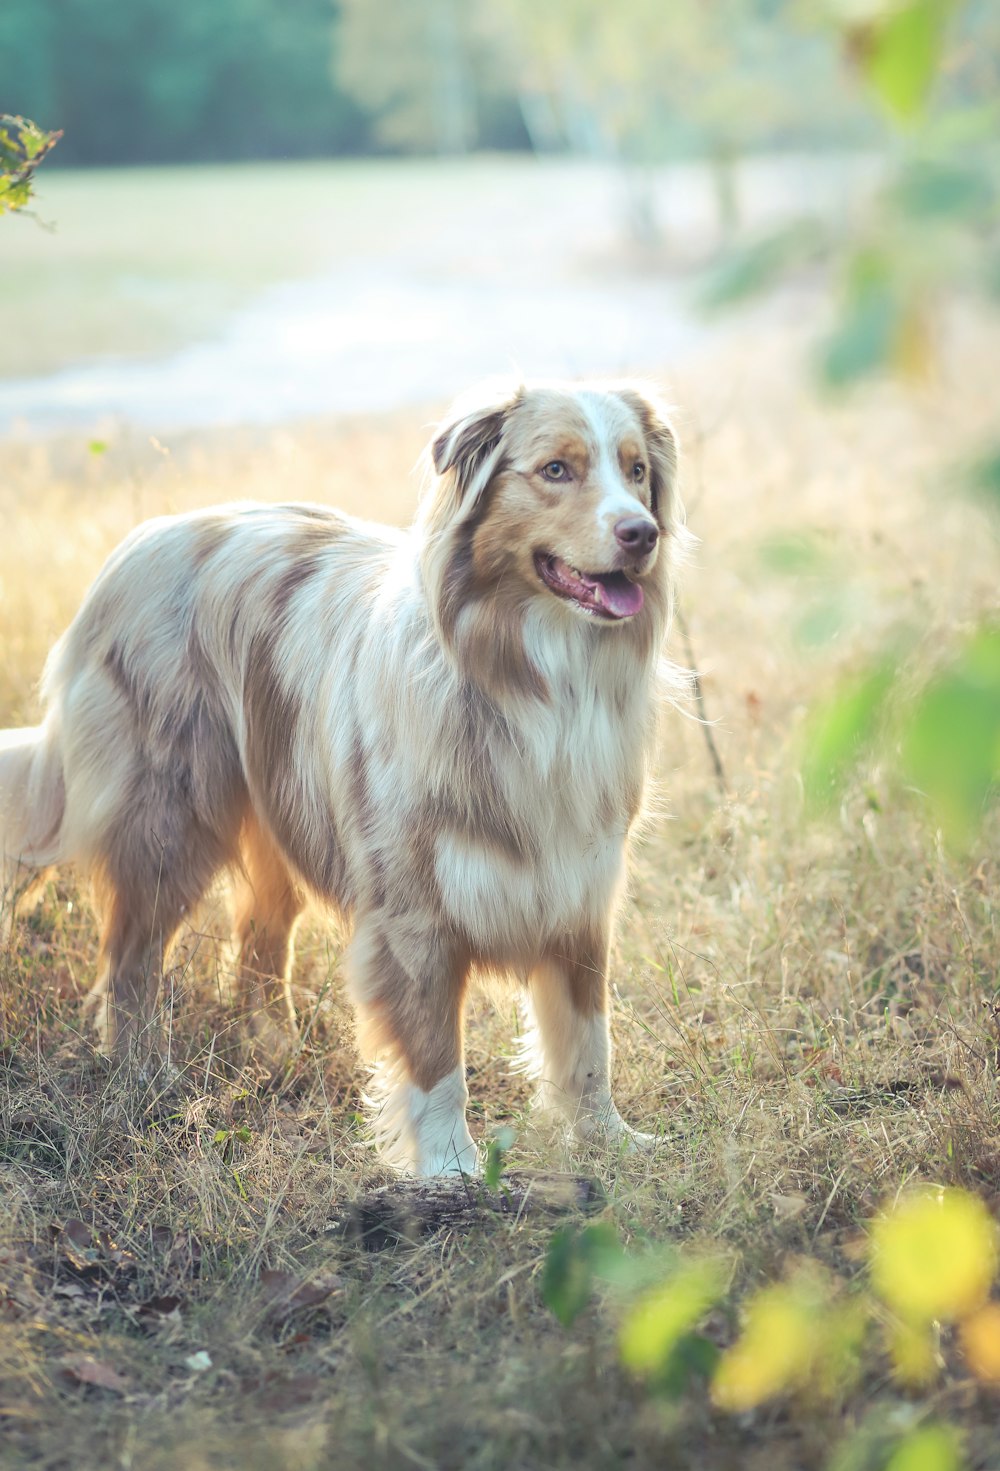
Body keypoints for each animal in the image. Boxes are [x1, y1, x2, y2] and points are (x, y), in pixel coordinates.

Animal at [0, 379, 679, 1170]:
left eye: (636, 471)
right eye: (556, 470)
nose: (641, 534)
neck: (533, 676)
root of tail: (138, 544)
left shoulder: (578, 885)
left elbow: (586, 1036)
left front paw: (609, 1140)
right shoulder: (414, 912)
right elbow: (434, 1054)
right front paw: (451, 1167)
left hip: (280, 814)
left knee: (259, 945)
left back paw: (276, 1051)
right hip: (169, 821)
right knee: (131, 959)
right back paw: (144, 1073)